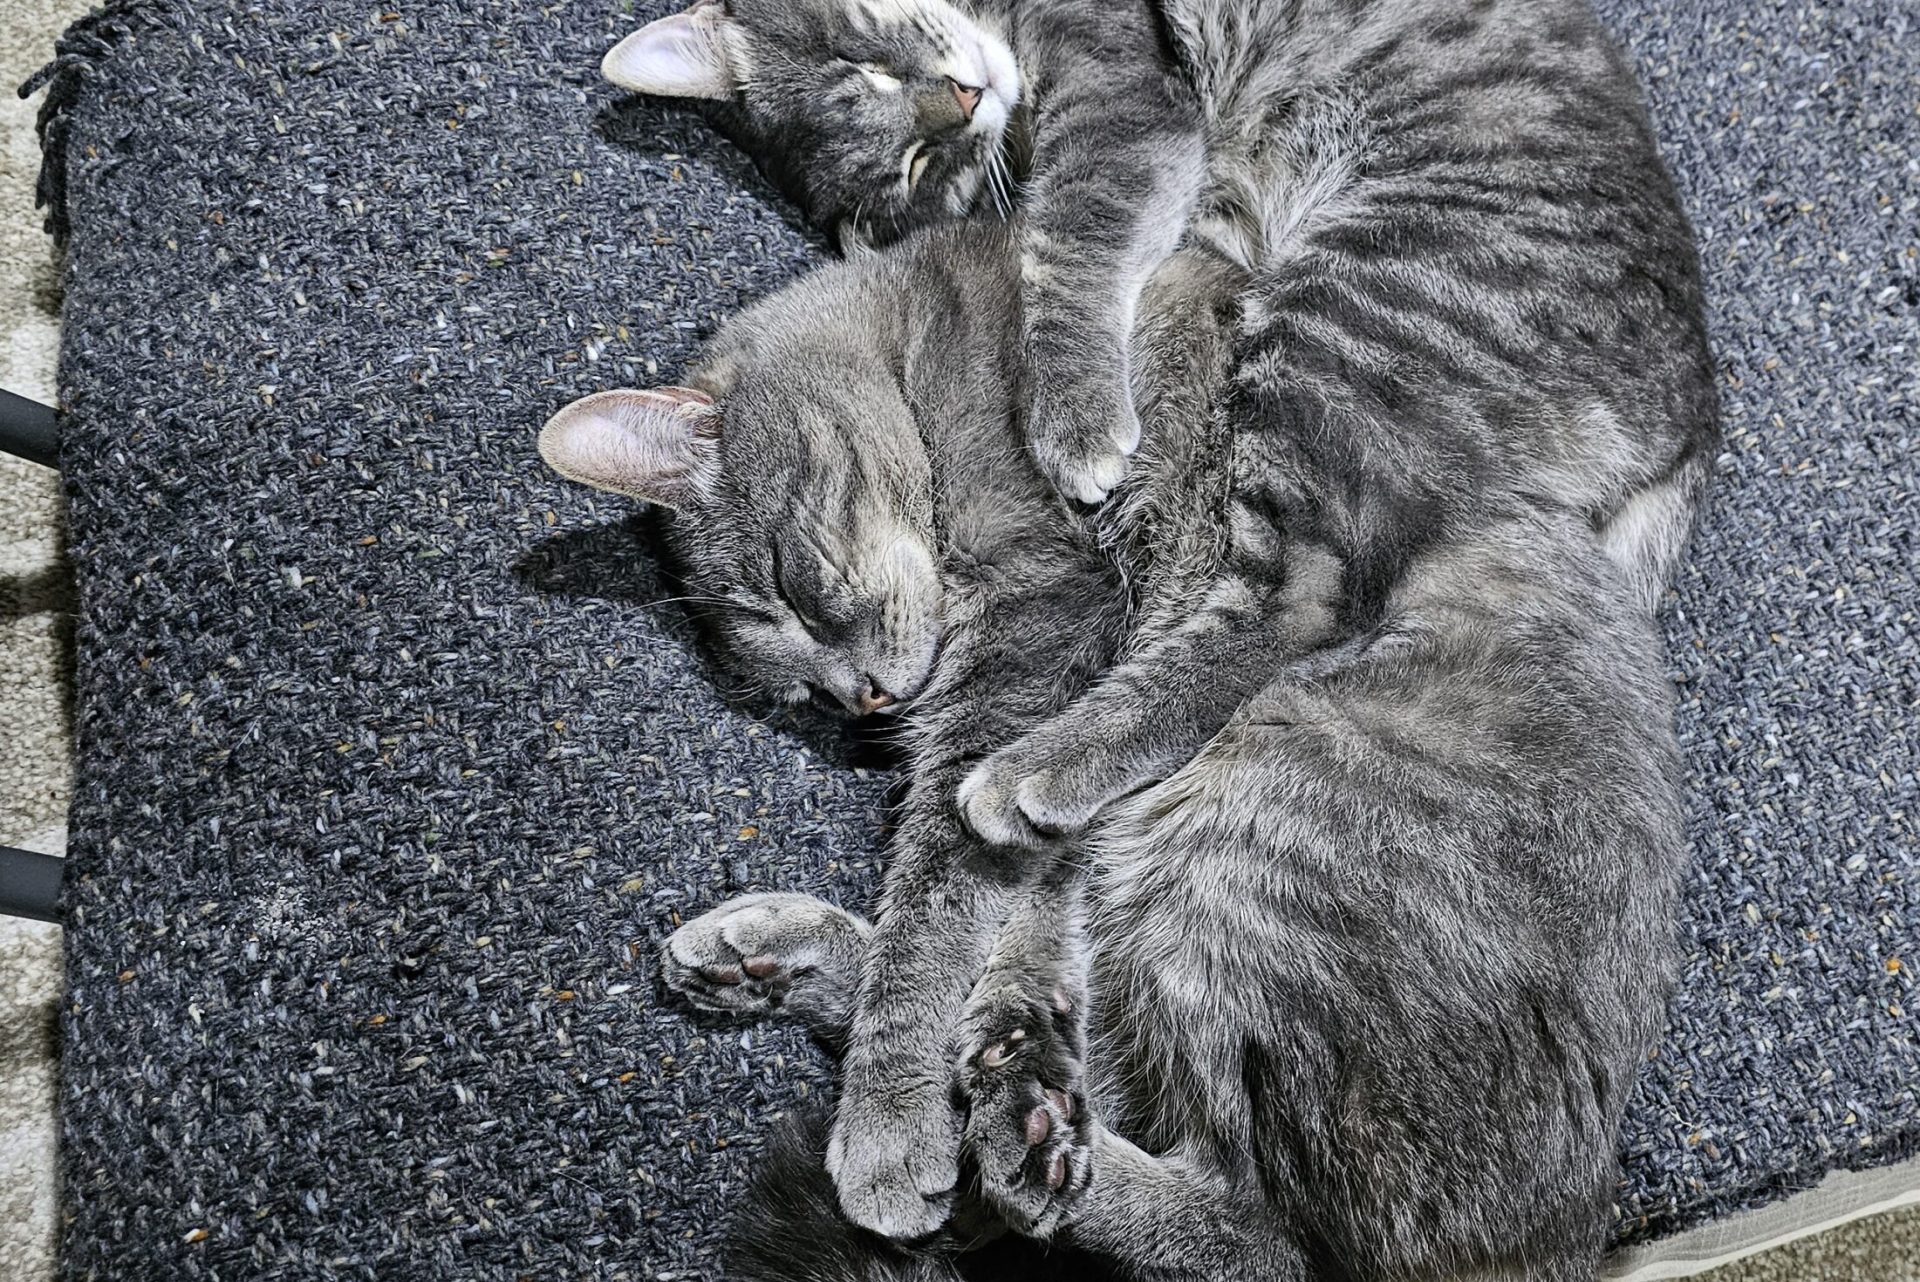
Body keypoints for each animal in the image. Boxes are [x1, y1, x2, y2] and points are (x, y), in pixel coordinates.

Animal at [602, 0, 1198, 506]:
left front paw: (1073, 411)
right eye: (916, 164)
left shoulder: (1113, 98)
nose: (969, 95)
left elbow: (1064, 251)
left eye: (867, 69)